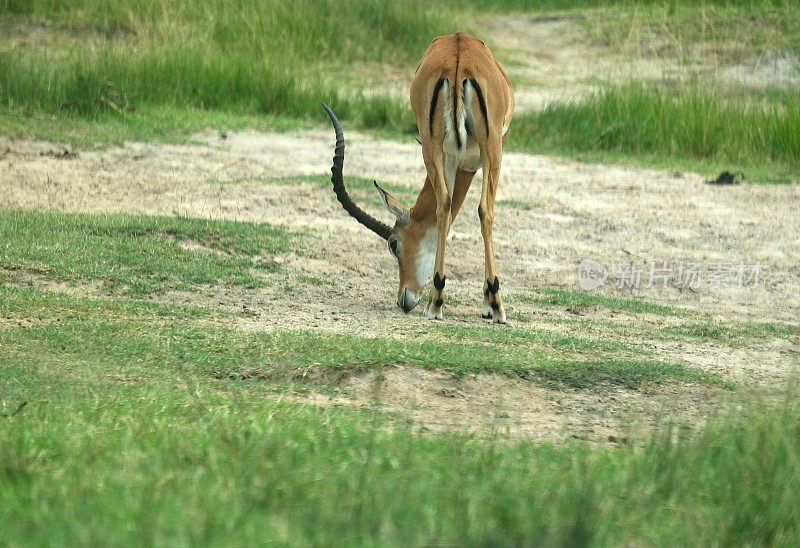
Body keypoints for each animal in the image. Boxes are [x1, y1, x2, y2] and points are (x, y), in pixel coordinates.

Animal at [324, 32, 516, 324]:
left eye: (393, 244)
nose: (403, 300)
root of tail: (458, 58)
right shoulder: (465, 158)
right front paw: (485, 304)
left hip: (437, 145)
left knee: (448, 205)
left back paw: (441, 301)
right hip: (485, 147)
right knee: (479, 209)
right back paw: (469, 305)